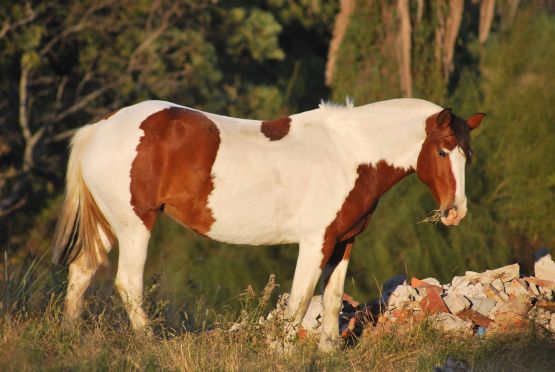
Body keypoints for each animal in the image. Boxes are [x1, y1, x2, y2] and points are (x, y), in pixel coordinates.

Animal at [53, 98, 486, 352]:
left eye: (468, 155)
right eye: (442, 151)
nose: (455, 212)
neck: (351, 153)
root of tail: (101, 127)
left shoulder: (344, 240)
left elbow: (332, 297)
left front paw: (329, 351)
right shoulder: (316, 242)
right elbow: (299, 301)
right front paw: (283, 351)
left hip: (108, 224)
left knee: (81, 272)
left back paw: (72, 337)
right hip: (134, 225)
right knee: (128, 283)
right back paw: (149, 343)